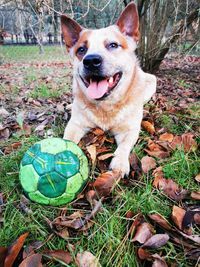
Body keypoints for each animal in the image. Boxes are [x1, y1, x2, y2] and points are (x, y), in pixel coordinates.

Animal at [60, 2, 157, 178]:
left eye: (113, 45)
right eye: (81, 50)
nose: (91, 61)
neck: (105, 106)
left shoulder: (130, 130)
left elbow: (124, 145)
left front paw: (119, 162)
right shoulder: (75, 125)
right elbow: (66, 140)